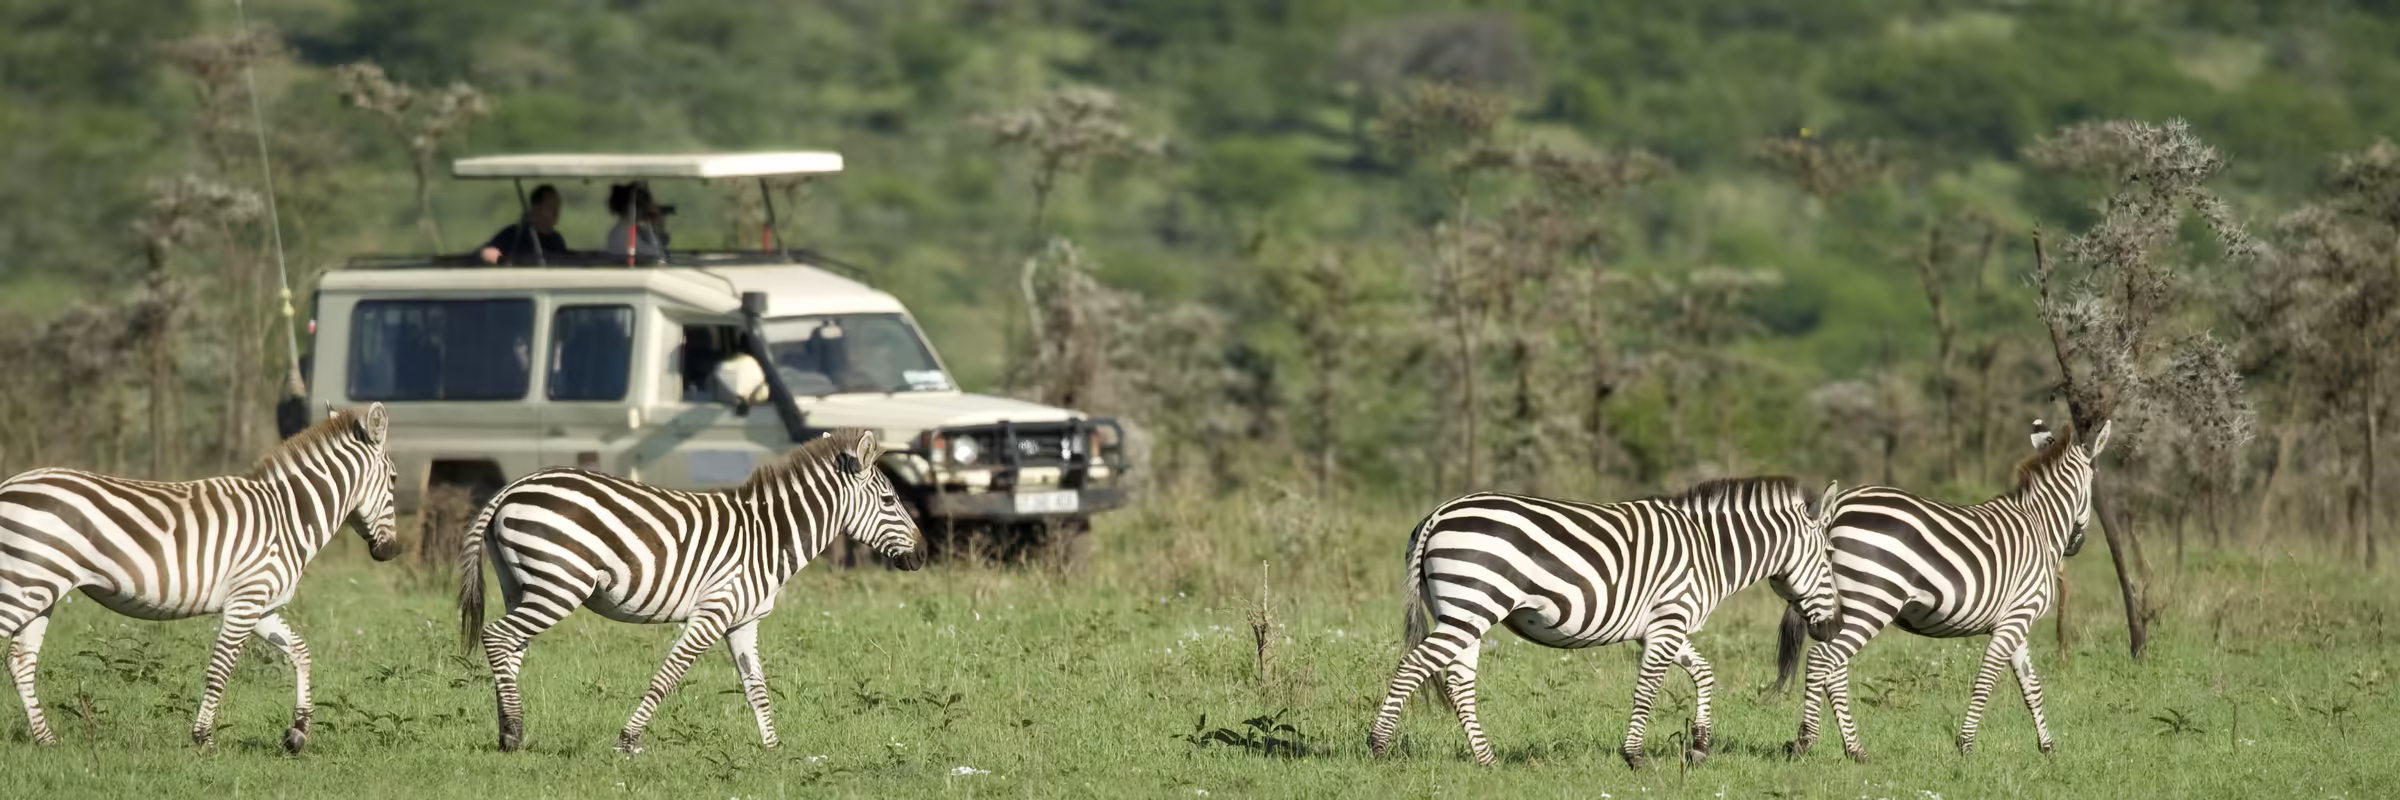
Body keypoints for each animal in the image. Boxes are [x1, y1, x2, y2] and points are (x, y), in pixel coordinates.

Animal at [0, 404, 401, 753]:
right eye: (395, 479)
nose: (392, 552)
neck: (287, 517)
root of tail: (10, 484)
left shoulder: (261, 605)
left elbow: (300, 652)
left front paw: (297, 734)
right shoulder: (245, 602)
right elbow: (220, 669)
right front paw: (203, 739)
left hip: (41, 589)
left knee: (21, 660)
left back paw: (46, 740)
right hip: (24, 584)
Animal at [458, 427, 927, 755]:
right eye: (889, 500)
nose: (922, 555)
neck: (769, 538)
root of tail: (515, 486)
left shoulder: (743, 621)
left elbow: (757, 688)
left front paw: (774, 751)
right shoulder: (713, 611)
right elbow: (668, 676)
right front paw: (628, 740)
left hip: (523, 585)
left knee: (511, 647)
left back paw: (509, 734)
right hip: (559, 584)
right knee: (497, 636)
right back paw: (513, 732)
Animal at [1366, 476, 1847, 768]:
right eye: (1829, 559)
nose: (1832, 628)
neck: (1709, 551)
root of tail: (1439, 513)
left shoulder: (1664, 626)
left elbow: (1705, 674)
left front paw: (1699, 747)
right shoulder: (1669, 621)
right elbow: (1648, 688)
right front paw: (1634, 756)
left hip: (1462, 612)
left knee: (1456, 682)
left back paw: (1488, 761)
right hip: (1473, 606)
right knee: (1413, 666)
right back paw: (1378, 746)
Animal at [1779, 418, 2112, 762]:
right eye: (2094, 481)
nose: (2075, 545)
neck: (2040, 524)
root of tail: (1834, 509)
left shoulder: (2015, 621)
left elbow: (2031, 686)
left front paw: (2047, 747)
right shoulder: (2018, 617)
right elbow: (1986, 680)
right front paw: (1966, 744)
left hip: (1838, 606)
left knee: (1834, 669)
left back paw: (1855, 749)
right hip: (1872, 602)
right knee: (1822, 661)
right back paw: (1806, 740)